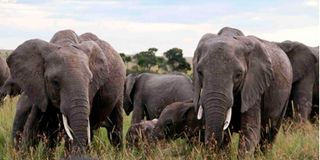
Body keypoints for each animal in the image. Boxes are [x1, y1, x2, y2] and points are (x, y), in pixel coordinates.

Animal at [192, 27, 292, 155]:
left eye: (238, 75)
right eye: (199, 72)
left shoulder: (254, 87)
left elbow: (250, 132)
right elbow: (226, 136)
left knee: (269, 133)